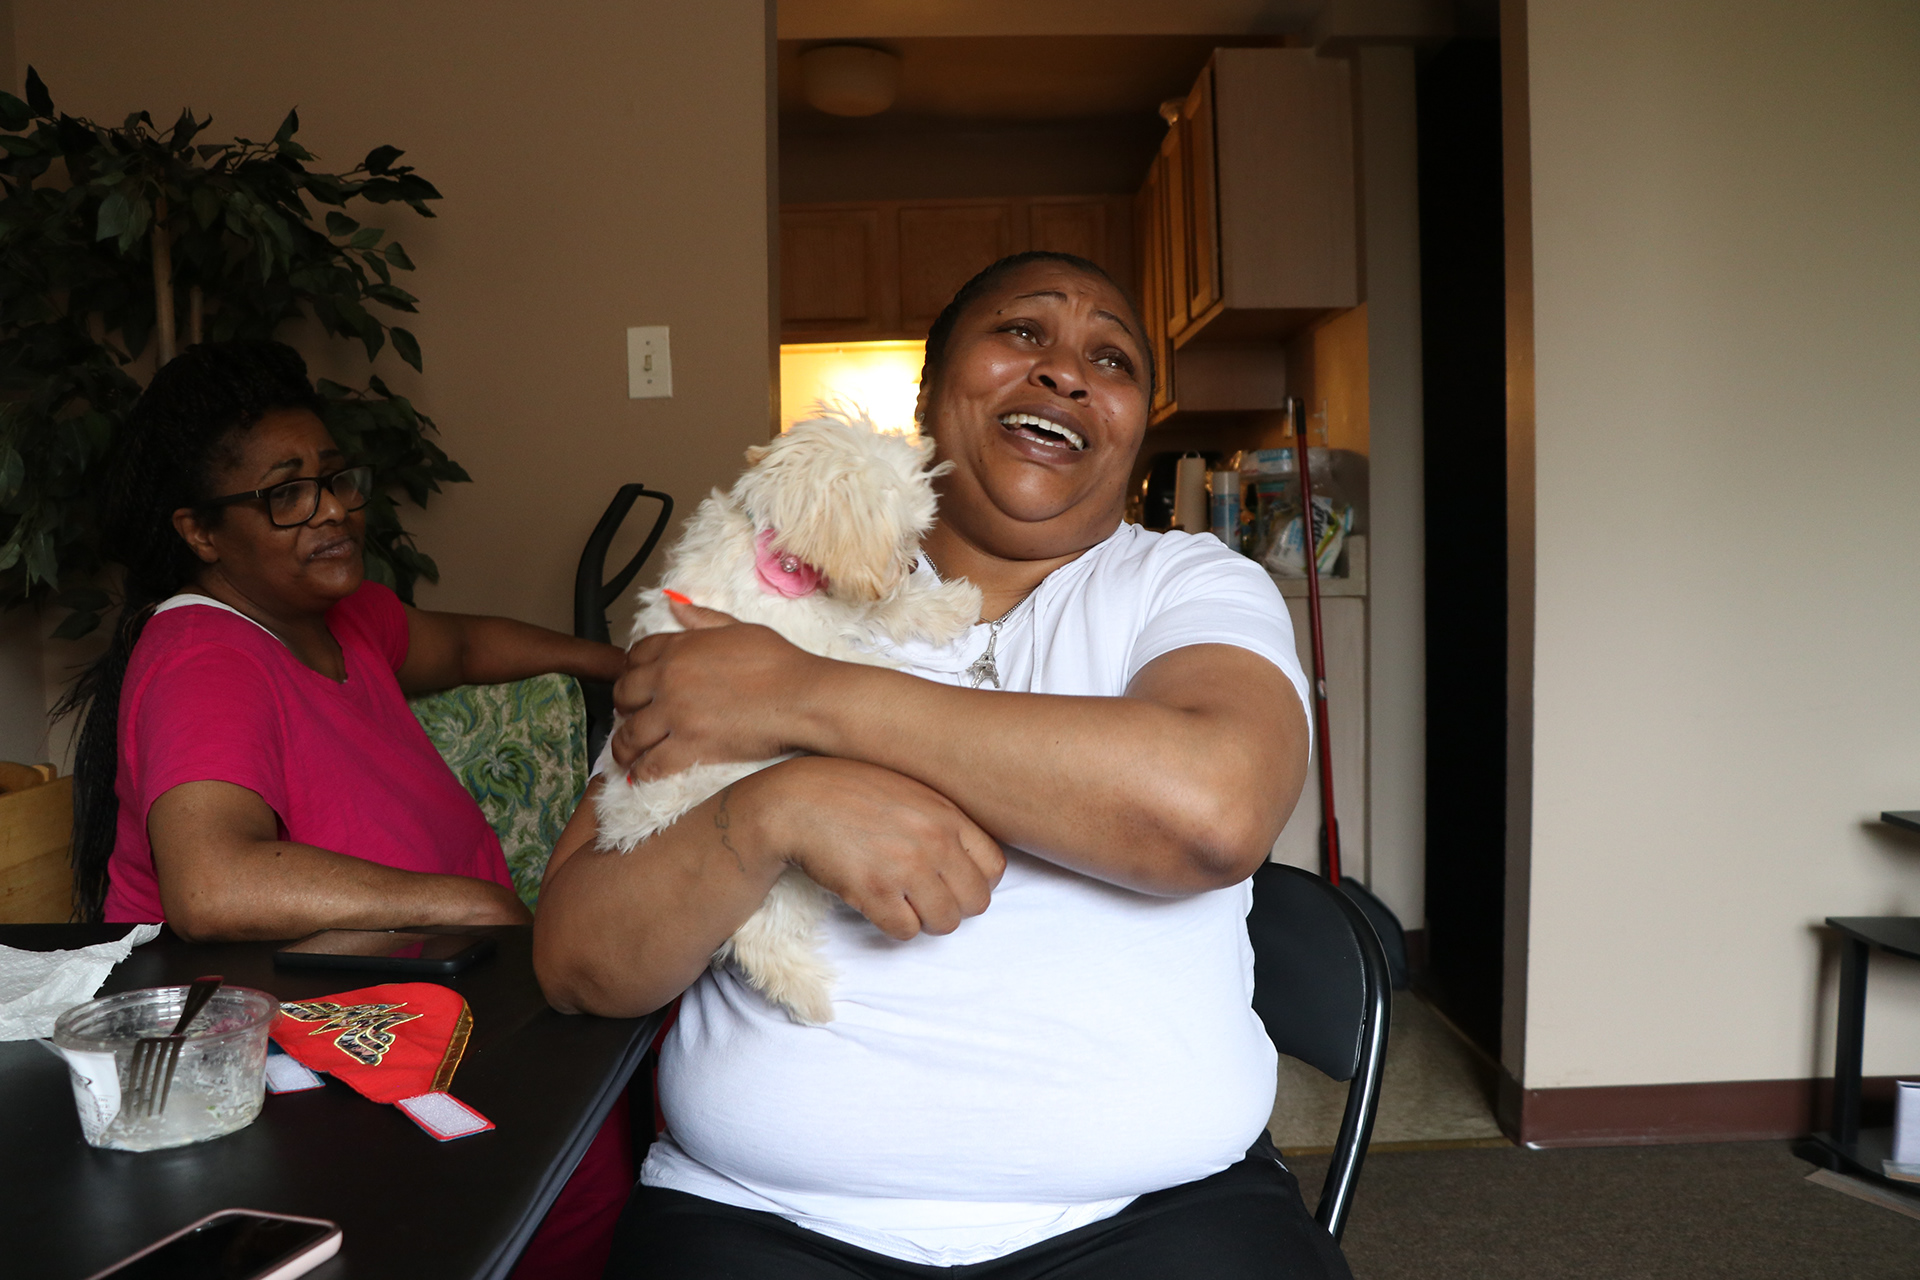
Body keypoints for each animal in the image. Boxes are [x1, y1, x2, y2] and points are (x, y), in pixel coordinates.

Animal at [591, 410, 983, 1028]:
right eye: (903, 537)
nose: (912, 565)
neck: (775, 547)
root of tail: (630, 831)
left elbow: (881, 608)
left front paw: (950, 606)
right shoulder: (810, 638)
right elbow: (862, 655)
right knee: (754, 939)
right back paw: (805, 994)